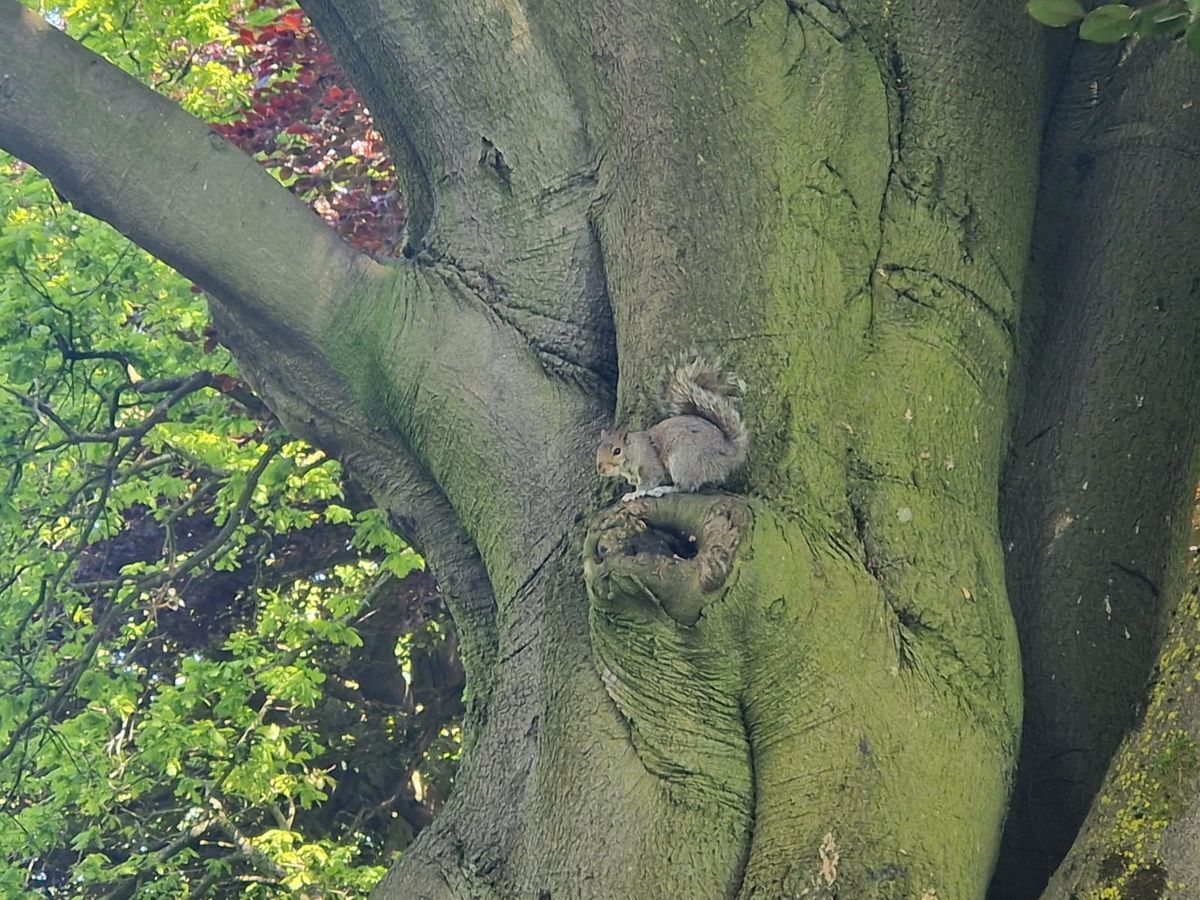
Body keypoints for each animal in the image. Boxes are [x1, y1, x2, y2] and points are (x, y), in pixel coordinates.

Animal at [595, 355, 744, 504]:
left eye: (617, 451)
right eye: (598, 450)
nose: (601, 469)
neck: (635, 451)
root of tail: (727, 449)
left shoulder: (651, 466)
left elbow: (648, 482)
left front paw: (634, 494)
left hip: (683, 460)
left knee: (685, 486)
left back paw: (663, 489)